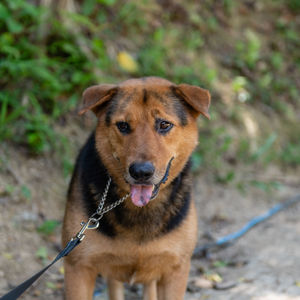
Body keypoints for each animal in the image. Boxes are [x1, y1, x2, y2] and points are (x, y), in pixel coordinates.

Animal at [61, 77, 210, 300]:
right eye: (123, 125)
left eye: (164, 124)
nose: (140, 172)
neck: (140, 209)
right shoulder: (78, 268)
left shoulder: (175, 269)